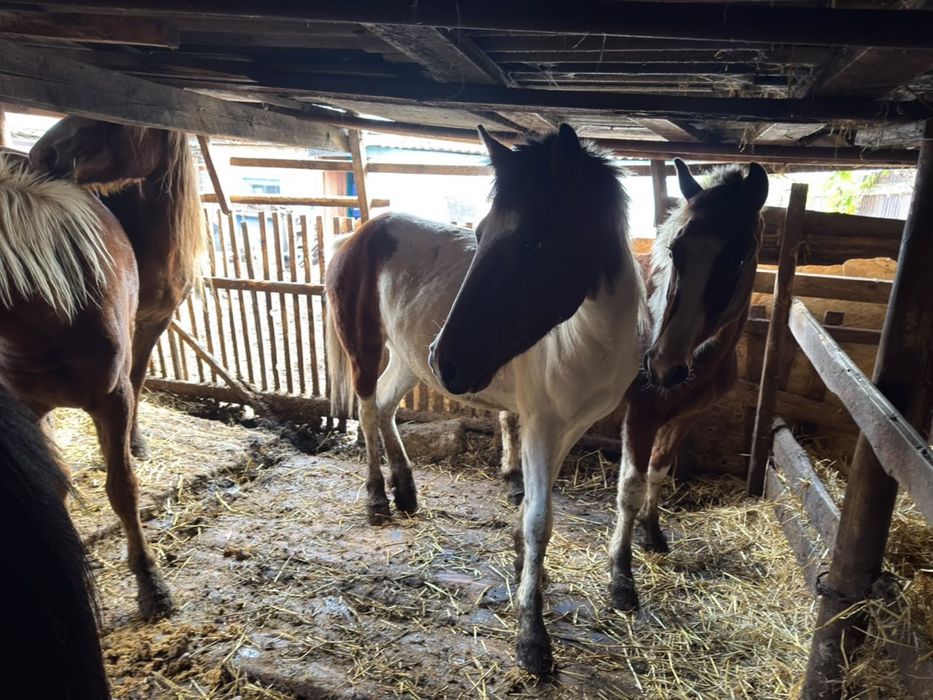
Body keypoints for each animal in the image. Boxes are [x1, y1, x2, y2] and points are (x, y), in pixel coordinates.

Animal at [327, 124, 644, 674]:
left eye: (534, 242)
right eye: (478, 235)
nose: (447, 361)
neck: (585, 339)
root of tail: (359, 234)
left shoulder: (568, 425)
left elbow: (536, 508)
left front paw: (522, 569)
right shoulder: (540, 425)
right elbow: (540, 520)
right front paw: (532, 637)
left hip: (407, 360)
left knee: (384, 407)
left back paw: (406, 492)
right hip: (363, 347)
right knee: (366, 410)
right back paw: (376, 500)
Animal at [608, 159, 769, 612]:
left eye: (738, 258)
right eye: (675, 250)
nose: (663, 367)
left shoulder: (688, 416)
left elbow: (660, 470)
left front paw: (653, 534)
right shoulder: (641, 415)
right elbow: (630, 486)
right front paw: (621, 576)